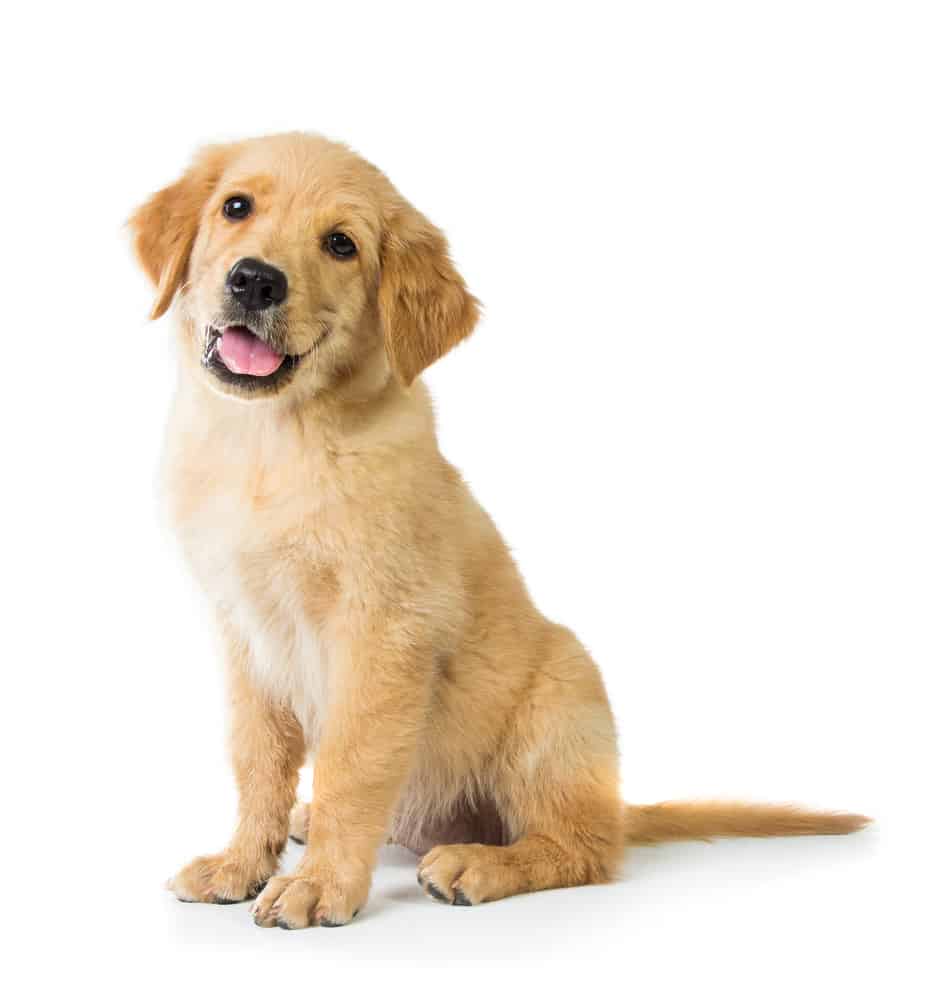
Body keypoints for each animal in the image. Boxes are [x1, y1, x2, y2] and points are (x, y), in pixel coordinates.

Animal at [131, 133, 868, 928]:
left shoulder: (381, 631)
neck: (269, 442)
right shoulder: (244, 631)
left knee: (584, 846)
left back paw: (477, 864)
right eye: (236, 207)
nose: (256, 281)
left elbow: (352, 765)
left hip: (559, 702)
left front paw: (320, 883)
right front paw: (240, 863)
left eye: (341, 244)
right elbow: (257, 759)